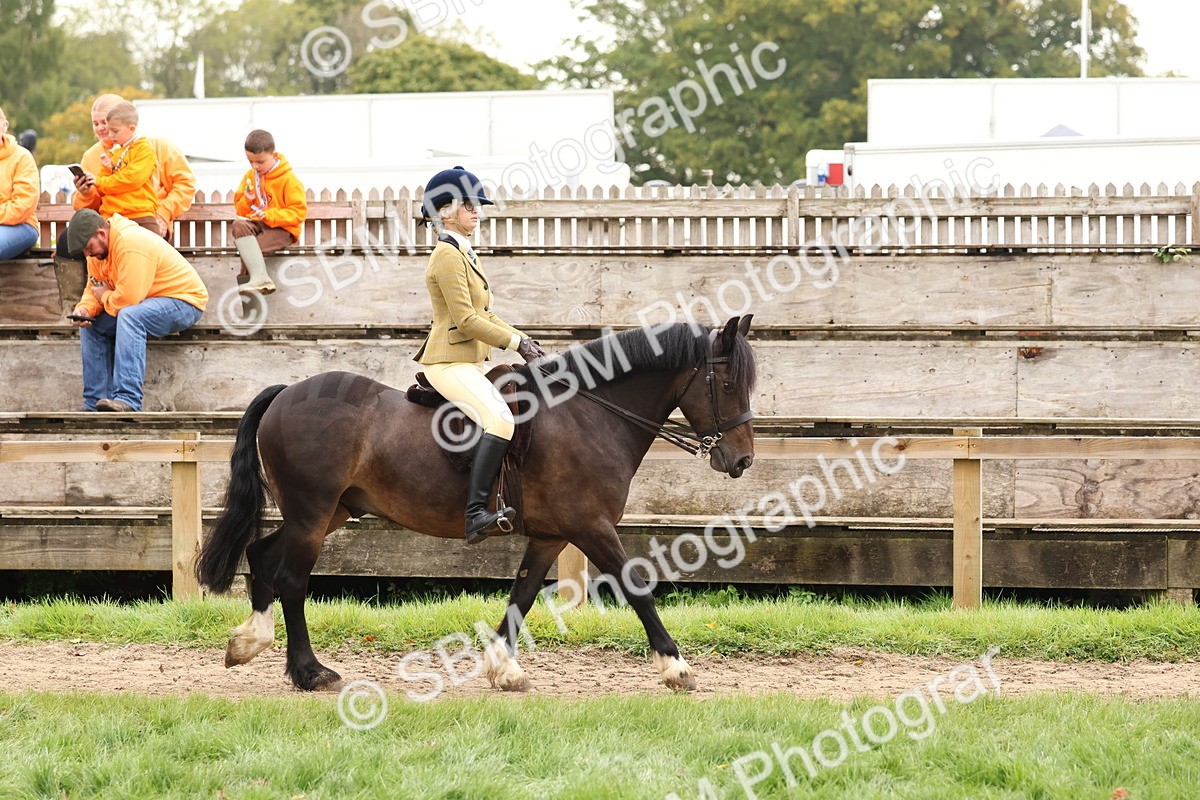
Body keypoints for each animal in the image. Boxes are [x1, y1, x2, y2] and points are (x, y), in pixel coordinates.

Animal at [196, 316, 757, 692]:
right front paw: (676, 668)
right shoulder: (591, 526)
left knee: (263, 556)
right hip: (312, 514)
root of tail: (287, 392)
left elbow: (522, 595)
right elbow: (637, 588)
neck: (587, 415)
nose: (742, 460)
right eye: (729, 384)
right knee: (292, 580)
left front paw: (504, 670)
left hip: (328, 512)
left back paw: (248, 643)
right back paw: (310, 672)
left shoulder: (551, 536)